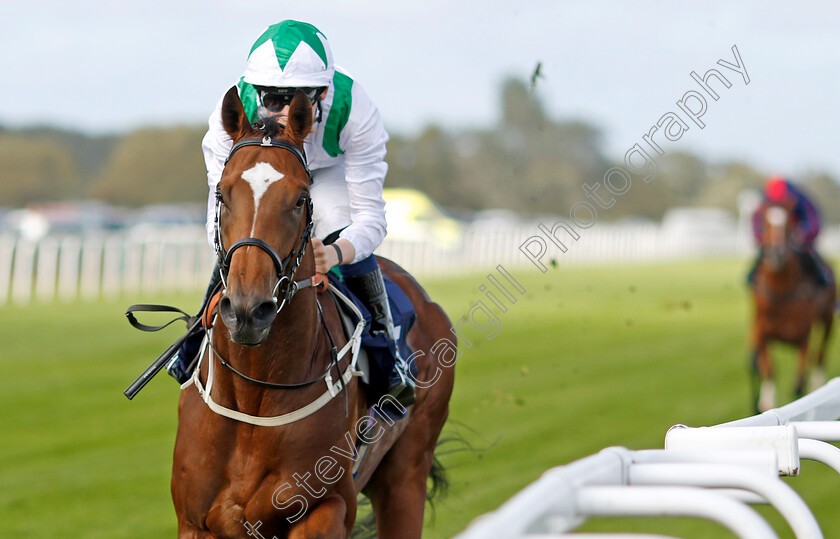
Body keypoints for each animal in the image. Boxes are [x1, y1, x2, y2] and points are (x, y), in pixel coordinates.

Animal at [171, 86, 456, 536]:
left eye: (301, 198)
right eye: (221, 194)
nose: (248, 310)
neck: (253, 395)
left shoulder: (325, 508)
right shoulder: (195, 521)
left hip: (405, 475)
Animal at [748, 204, 832, 414]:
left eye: (788, 225)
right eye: (765, 222)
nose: (776, 254)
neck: (781, 294)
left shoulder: (803, 338)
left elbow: (799, 383)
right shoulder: (761, 333)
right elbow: (769, 371)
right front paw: (766, 402)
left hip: (828, 319)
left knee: (821, 352)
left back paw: (818, 382)